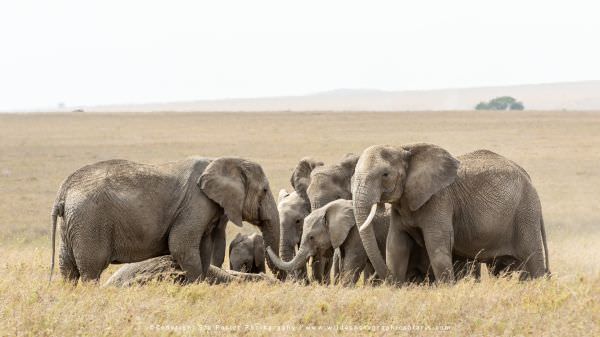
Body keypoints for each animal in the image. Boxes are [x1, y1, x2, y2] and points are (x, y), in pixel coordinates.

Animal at [50, 156, 282, 282]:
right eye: (264, 190)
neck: (222, 160)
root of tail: (64, 190)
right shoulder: (195, 204)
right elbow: (181, 246)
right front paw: (195, 287)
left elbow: (203, 250)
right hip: (89, 221)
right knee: (91, 269)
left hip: (72, 222)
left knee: (67, 268)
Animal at [354, 143, 552, 282]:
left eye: (385, 175)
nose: (388, 280)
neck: (404, 148)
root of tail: (528, 177)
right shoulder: (402, 205)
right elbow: (396, 246)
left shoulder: (440, 200)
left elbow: (437, 248)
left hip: (525, 213)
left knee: (532, 260)